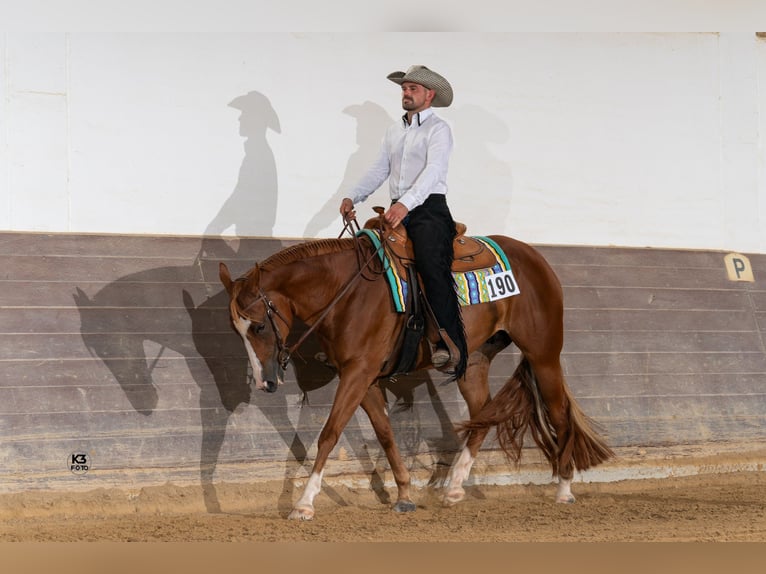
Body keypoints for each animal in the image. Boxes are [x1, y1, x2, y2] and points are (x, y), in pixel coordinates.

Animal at [219, 228, 616, 520]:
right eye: (236, 329)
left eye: (258, 326)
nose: (265, 382)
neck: (347, 292)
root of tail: (537, 259)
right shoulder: (363, 378)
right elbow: (385, 434)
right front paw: (405, 494)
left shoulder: (357, 373)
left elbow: (329, 434)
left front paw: (304, 504)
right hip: (474, 360)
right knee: (482, 414)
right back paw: (454, 487)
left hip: (544, 354)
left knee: (559, 415)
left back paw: (564, 489)